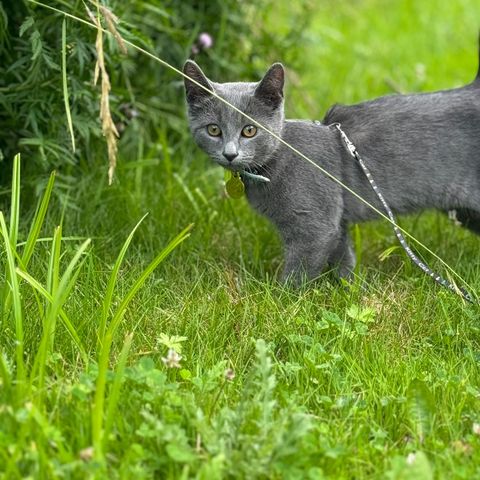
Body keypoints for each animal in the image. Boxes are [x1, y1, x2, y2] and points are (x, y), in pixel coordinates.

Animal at [182, 45, 478, 284]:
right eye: (213, 130)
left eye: (249, 131)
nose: (230, 154)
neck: (276, 162)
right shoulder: (335, 218)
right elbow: (342, 255)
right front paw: (347, 289)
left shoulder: (314, 225)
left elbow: (298, 272)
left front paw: (280, 301)